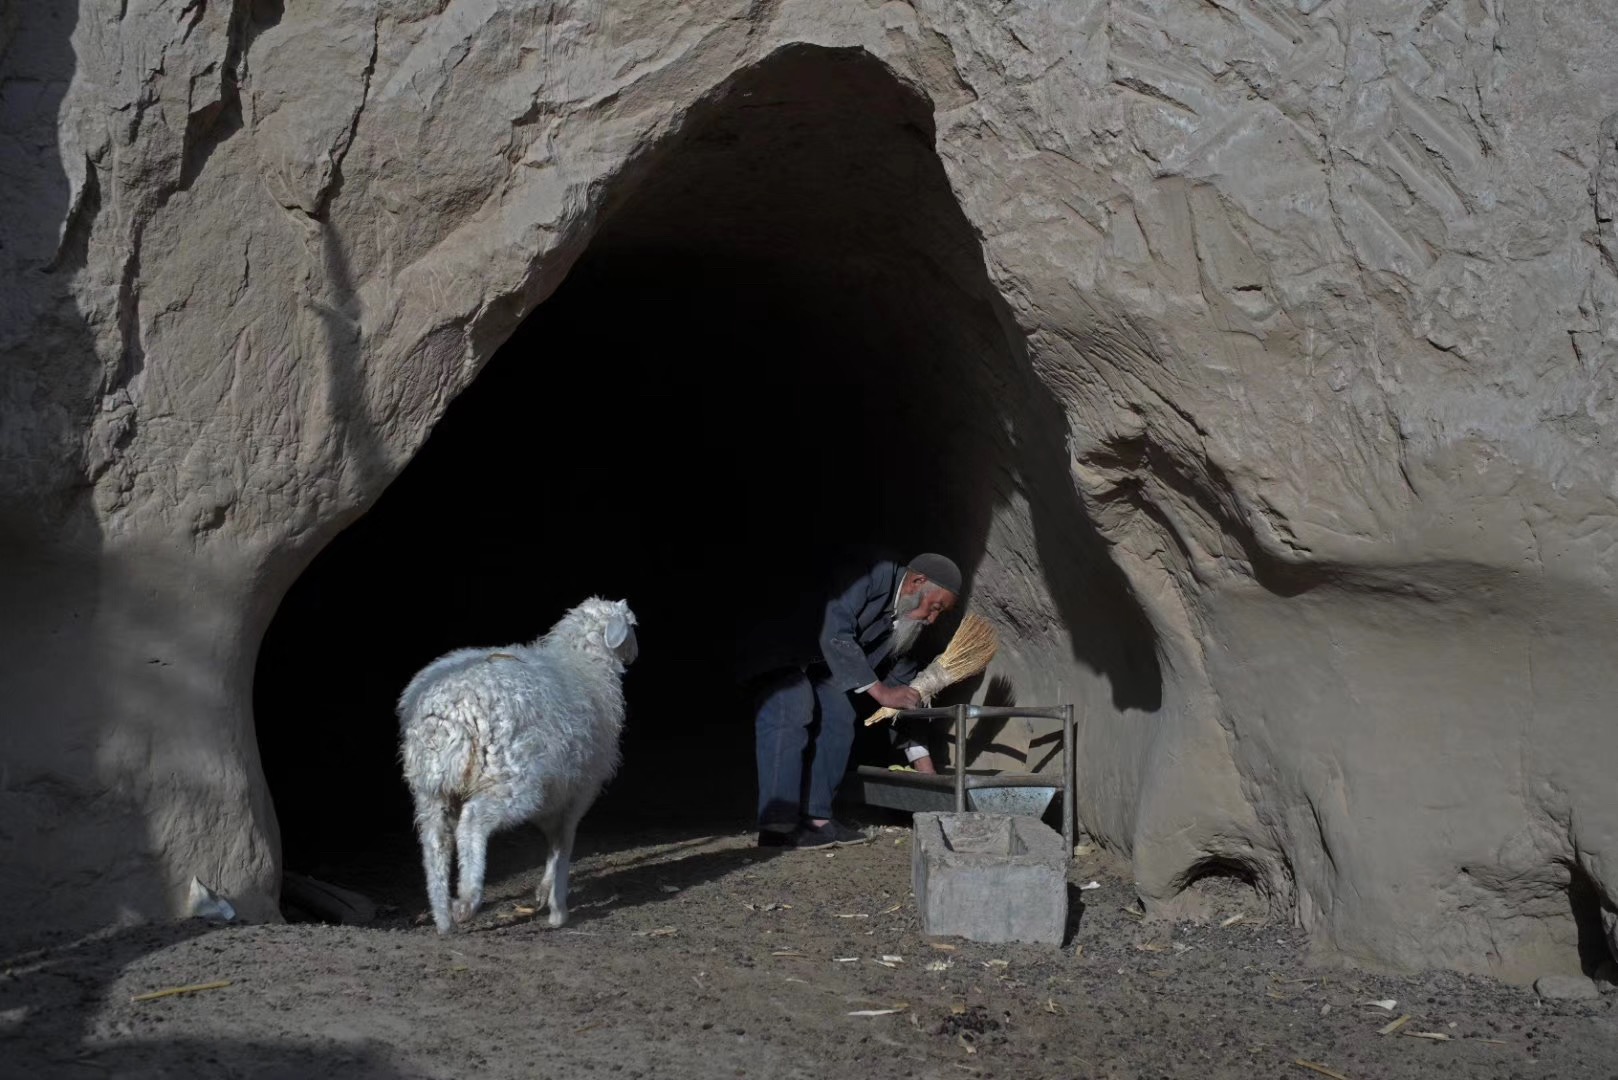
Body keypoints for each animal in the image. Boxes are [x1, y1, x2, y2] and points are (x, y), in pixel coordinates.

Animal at [398, 595, 637, 932]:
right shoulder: (578, 793)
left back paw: (444, 919)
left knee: (435, 846)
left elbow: (554, 843)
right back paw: (468, 900)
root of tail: (450, 714)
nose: (634, 654)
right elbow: (564, 844)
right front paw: (558, 909)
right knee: (472, 824)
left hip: (432, 789)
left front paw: (545, 893)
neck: (584, 663)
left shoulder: (554, 799)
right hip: (509, 779)